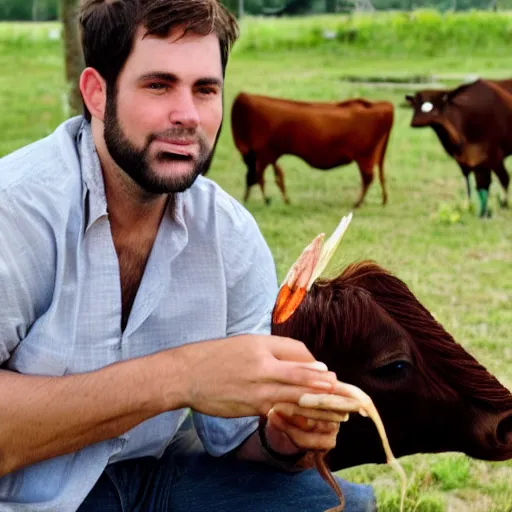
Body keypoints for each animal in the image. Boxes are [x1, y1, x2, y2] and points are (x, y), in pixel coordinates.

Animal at [230, 94, 394, 208]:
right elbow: (277, 177)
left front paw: (263, 200)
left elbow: (260, 178)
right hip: (373, 157)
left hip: (365, 157)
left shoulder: (261, 155)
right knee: (377, 177)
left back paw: (358, 203)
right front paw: (282, 200)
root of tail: (383, 105)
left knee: (368, 178)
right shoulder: (268, 156)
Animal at [404, 79, 512, 218]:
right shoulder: (468, 162)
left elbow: (503, 180)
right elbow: (477, 187)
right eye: (416, 104)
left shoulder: (495, 158)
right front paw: (477, 211)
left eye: (438, 103)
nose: (416, 121)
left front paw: (503, 206)